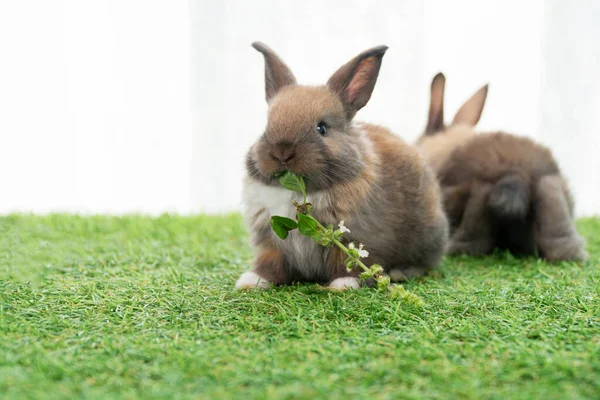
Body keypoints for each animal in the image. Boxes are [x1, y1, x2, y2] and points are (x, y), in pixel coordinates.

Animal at [237, 42, 448, 290]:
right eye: (267, 126)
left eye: (322, 128)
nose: (282, 152)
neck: (297, 192)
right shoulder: (271, 241)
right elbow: (269, 264)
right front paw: (251, 281)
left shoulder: (355, 237)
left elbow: (347, 262)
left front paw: (343, 285)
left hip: (427, 238)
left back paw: (400, 272)